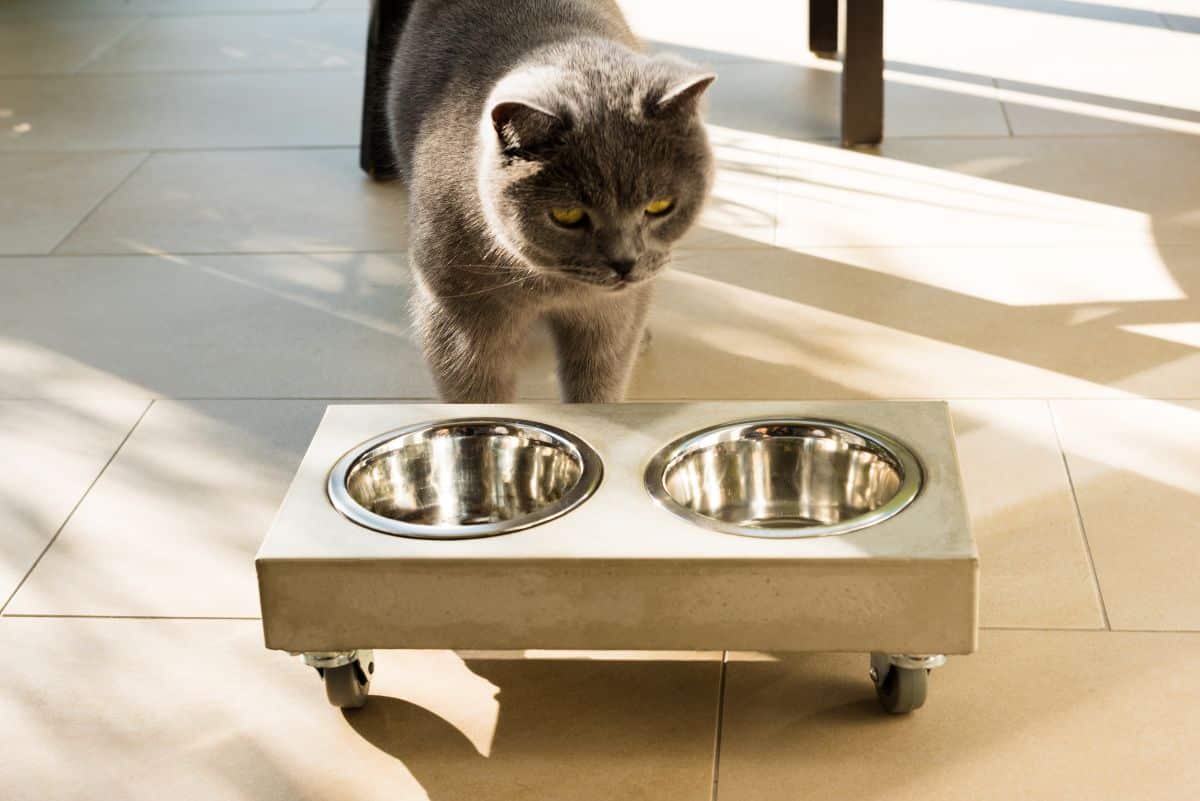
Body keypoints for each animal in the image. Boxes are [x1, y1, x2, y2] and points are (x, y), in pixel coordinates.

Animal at [388, 0, 715, 400]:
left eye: (659, 207)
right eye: (568, 215)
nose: (624, 263)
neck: (551, 288)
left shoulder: (610, 317)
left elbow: (601, 381)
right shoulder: (460, 319)